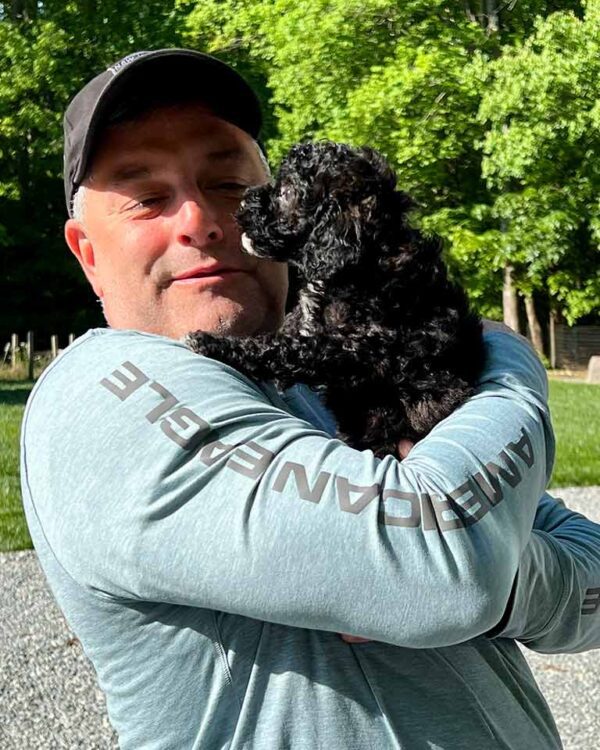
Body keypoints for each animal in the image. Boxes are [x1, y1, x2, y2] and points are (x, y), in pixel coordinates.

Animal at [185, 141, 486, 458]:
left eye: (286, 192)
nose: (243, 202)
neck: (363, 261)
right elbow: (291, 329)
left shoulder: (362, 346)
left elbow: (292, 349)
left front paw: (216, 344)